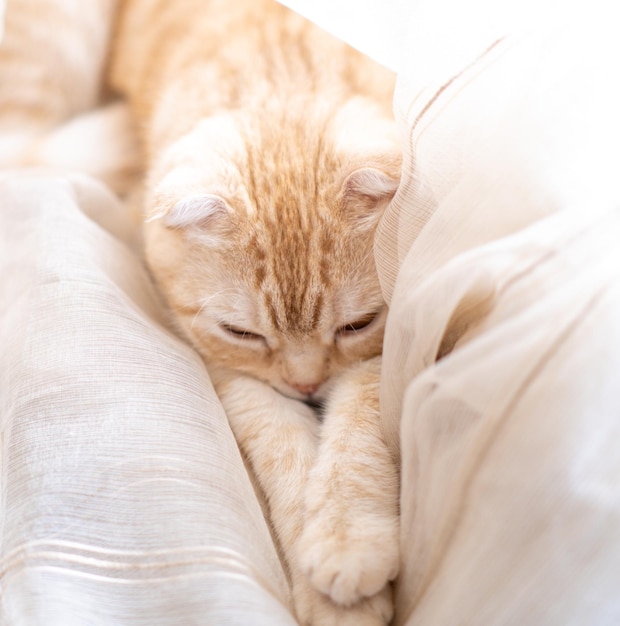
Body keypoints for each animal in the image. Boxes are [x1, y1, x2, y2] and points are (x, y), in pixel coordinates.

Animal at [0, 2, 402, 620]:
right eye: (242, 333)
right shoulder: (224, 364)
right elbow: (281, 445)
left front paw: (348, 540)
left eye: (356, 325)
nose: (307, 386)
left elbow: (358, 426)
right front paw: (329, 591)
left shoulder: (385, 343)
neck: (277, 71)